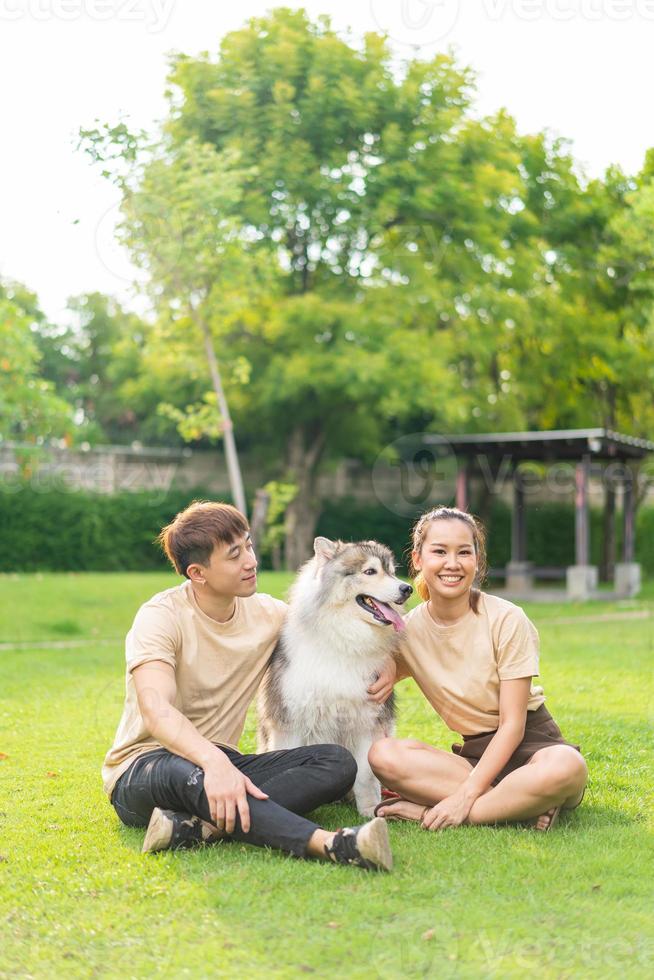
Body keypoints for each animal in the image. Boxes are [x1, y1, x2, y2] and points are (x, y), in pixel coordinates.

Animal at [258, 540, 412, 816]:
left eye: (392, 572)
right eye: (370, 571)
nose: (407, 589)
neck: (343, 637)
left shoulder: (366, 722)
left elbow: (365, 775)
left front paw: (369, 810)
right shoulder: (290, 721)